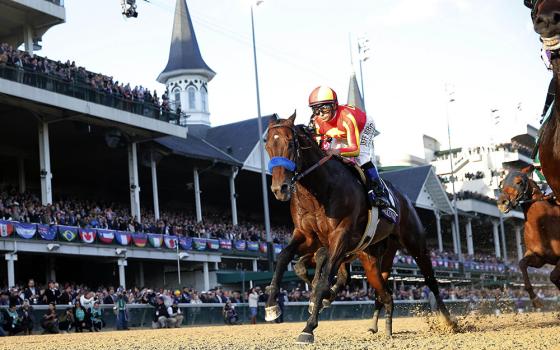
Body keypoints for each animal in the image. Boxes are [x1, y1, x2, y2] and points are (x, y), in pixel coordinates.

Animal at [264, 113, 456, 344]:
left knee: (430, 280)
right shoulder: (306, 235)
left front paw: (309, 327)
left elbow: (323, 277)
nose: (279, 189)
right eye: (267, 145)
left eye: (291, 143)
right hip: (374, 255)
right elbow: (286, 257)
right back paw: (379, 325)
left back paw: (449, 321)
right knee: (380, 290)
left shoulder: (340, 235)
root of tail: (404, 199)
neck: (319, 190)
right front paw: (272, 305)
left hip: (415, 243)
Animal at [496, 165, 560, 304]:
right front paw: (535, 300)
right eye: (502, 183)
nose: (502, 203)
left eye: (519, 182)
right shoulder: (539, 258)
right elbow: (522, 264)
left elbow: (553, 277)